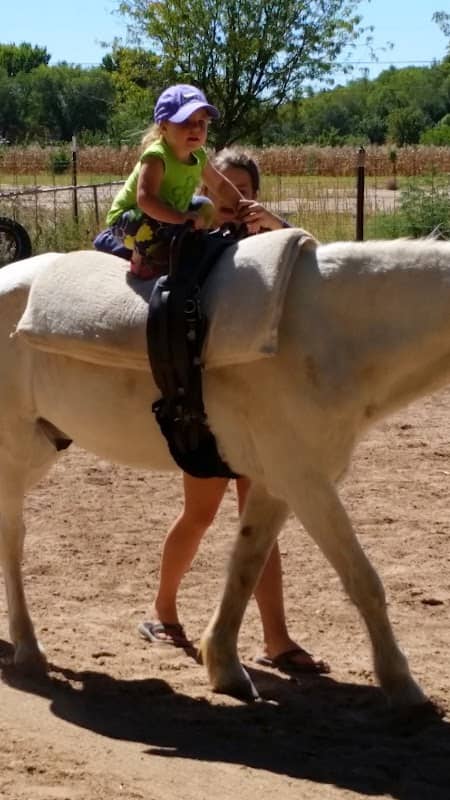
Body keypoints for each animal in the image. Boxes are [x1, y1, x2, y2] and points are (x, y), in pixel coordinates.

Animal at [1, 231, 450, 710]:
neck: (332, 331)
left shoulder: (277, 484)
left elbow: (246, 567)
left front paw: (225, 666)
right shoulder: (307, 482)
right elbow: (363, 580)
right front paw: (402, 684)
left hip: (41, 449)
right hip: (13, 456)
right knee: (12, 544)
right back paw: (28, 649)